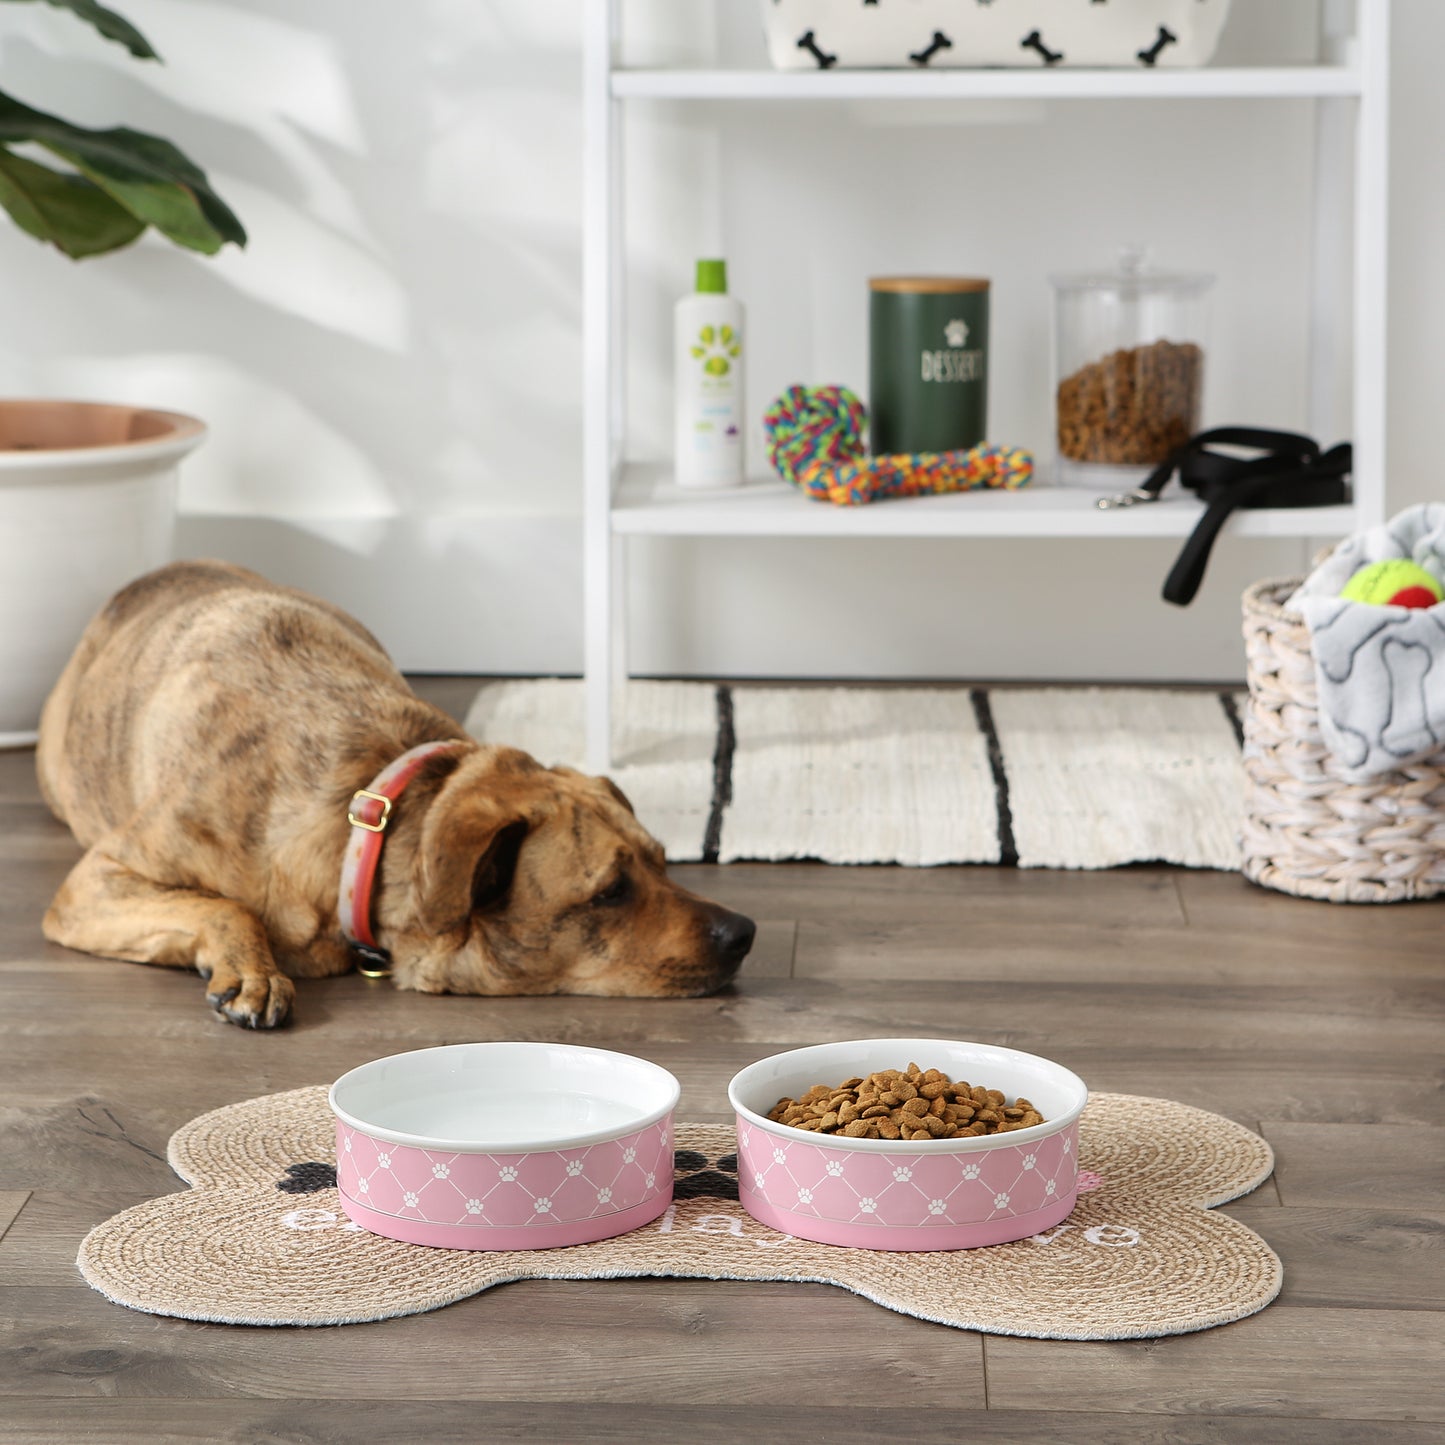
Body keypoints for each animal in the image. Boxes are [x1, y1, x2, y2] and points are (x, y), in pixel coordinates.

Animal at [36, 554, 757, 1028]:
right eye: (608, 892)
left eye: (663, 862)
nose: (745, 930)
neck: (363, 820)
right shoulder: (96, 881)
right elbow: (222, 906)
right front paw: (253, 968)